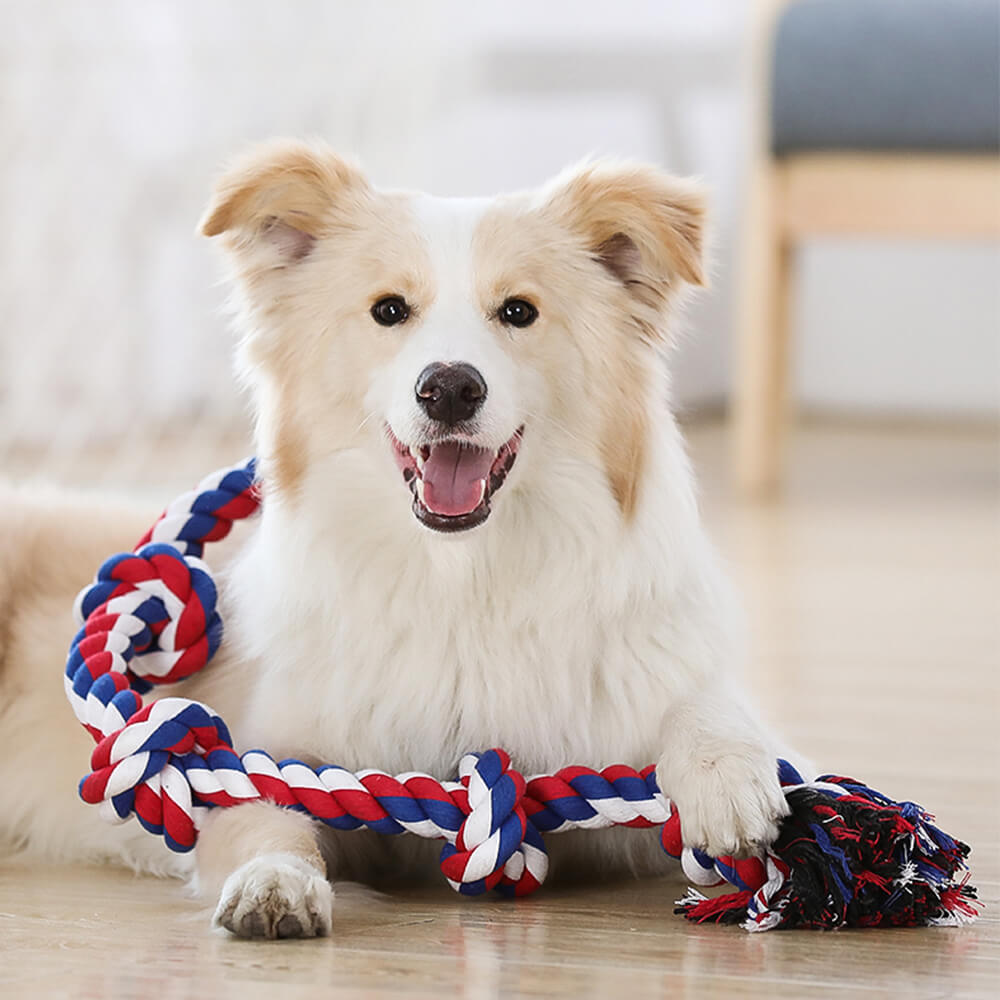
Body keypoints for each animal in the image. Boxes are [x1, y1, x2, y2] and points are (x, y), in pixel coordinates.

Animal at [1, 141, 796, 936]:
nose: (449, 389)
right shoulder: (253, 761)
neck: (462, 579)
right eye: (389, 310)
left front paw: (727, 779)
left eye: (519, 311)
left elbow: (710, 704)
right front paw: (275, 883)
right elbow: (267, 819)